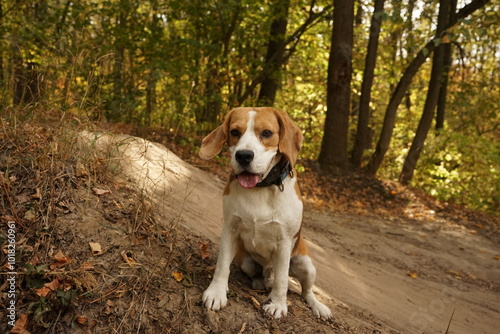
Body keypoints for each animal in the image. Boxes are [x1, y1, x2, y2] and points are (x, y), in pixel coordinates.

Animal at [199, 108, 332, 320]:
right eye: (235, 132)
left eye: (267, 133)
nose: (244, 156)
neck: (260, 188)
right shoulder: (230, 229)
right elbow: (222, 265)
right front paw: (216, 293)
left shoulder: (284, 242)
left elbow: (282, 280)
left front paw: (278, 304)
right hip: (246, 261)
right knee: (257, 273)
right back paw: (259, 281)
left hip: (306, 264)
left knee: (305, 291)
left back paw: (318, 306)